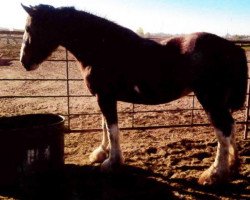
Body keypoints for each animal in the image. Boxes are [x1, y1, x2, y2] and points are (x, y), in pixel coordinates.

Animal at [20, 4, 248, 186]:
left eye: (29, 28)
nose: (24, 62)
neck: (102, 47)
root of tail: (232, 47)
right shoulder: (104, 97)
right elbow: (104, 125)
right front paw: (100, 153)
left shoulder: (105, 97)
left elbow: (112, 129)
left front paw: (112, 163)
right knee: (231, 126)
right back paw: (233, 165)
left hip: (210, 100)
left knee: (223, 130)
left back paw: (214, 174)